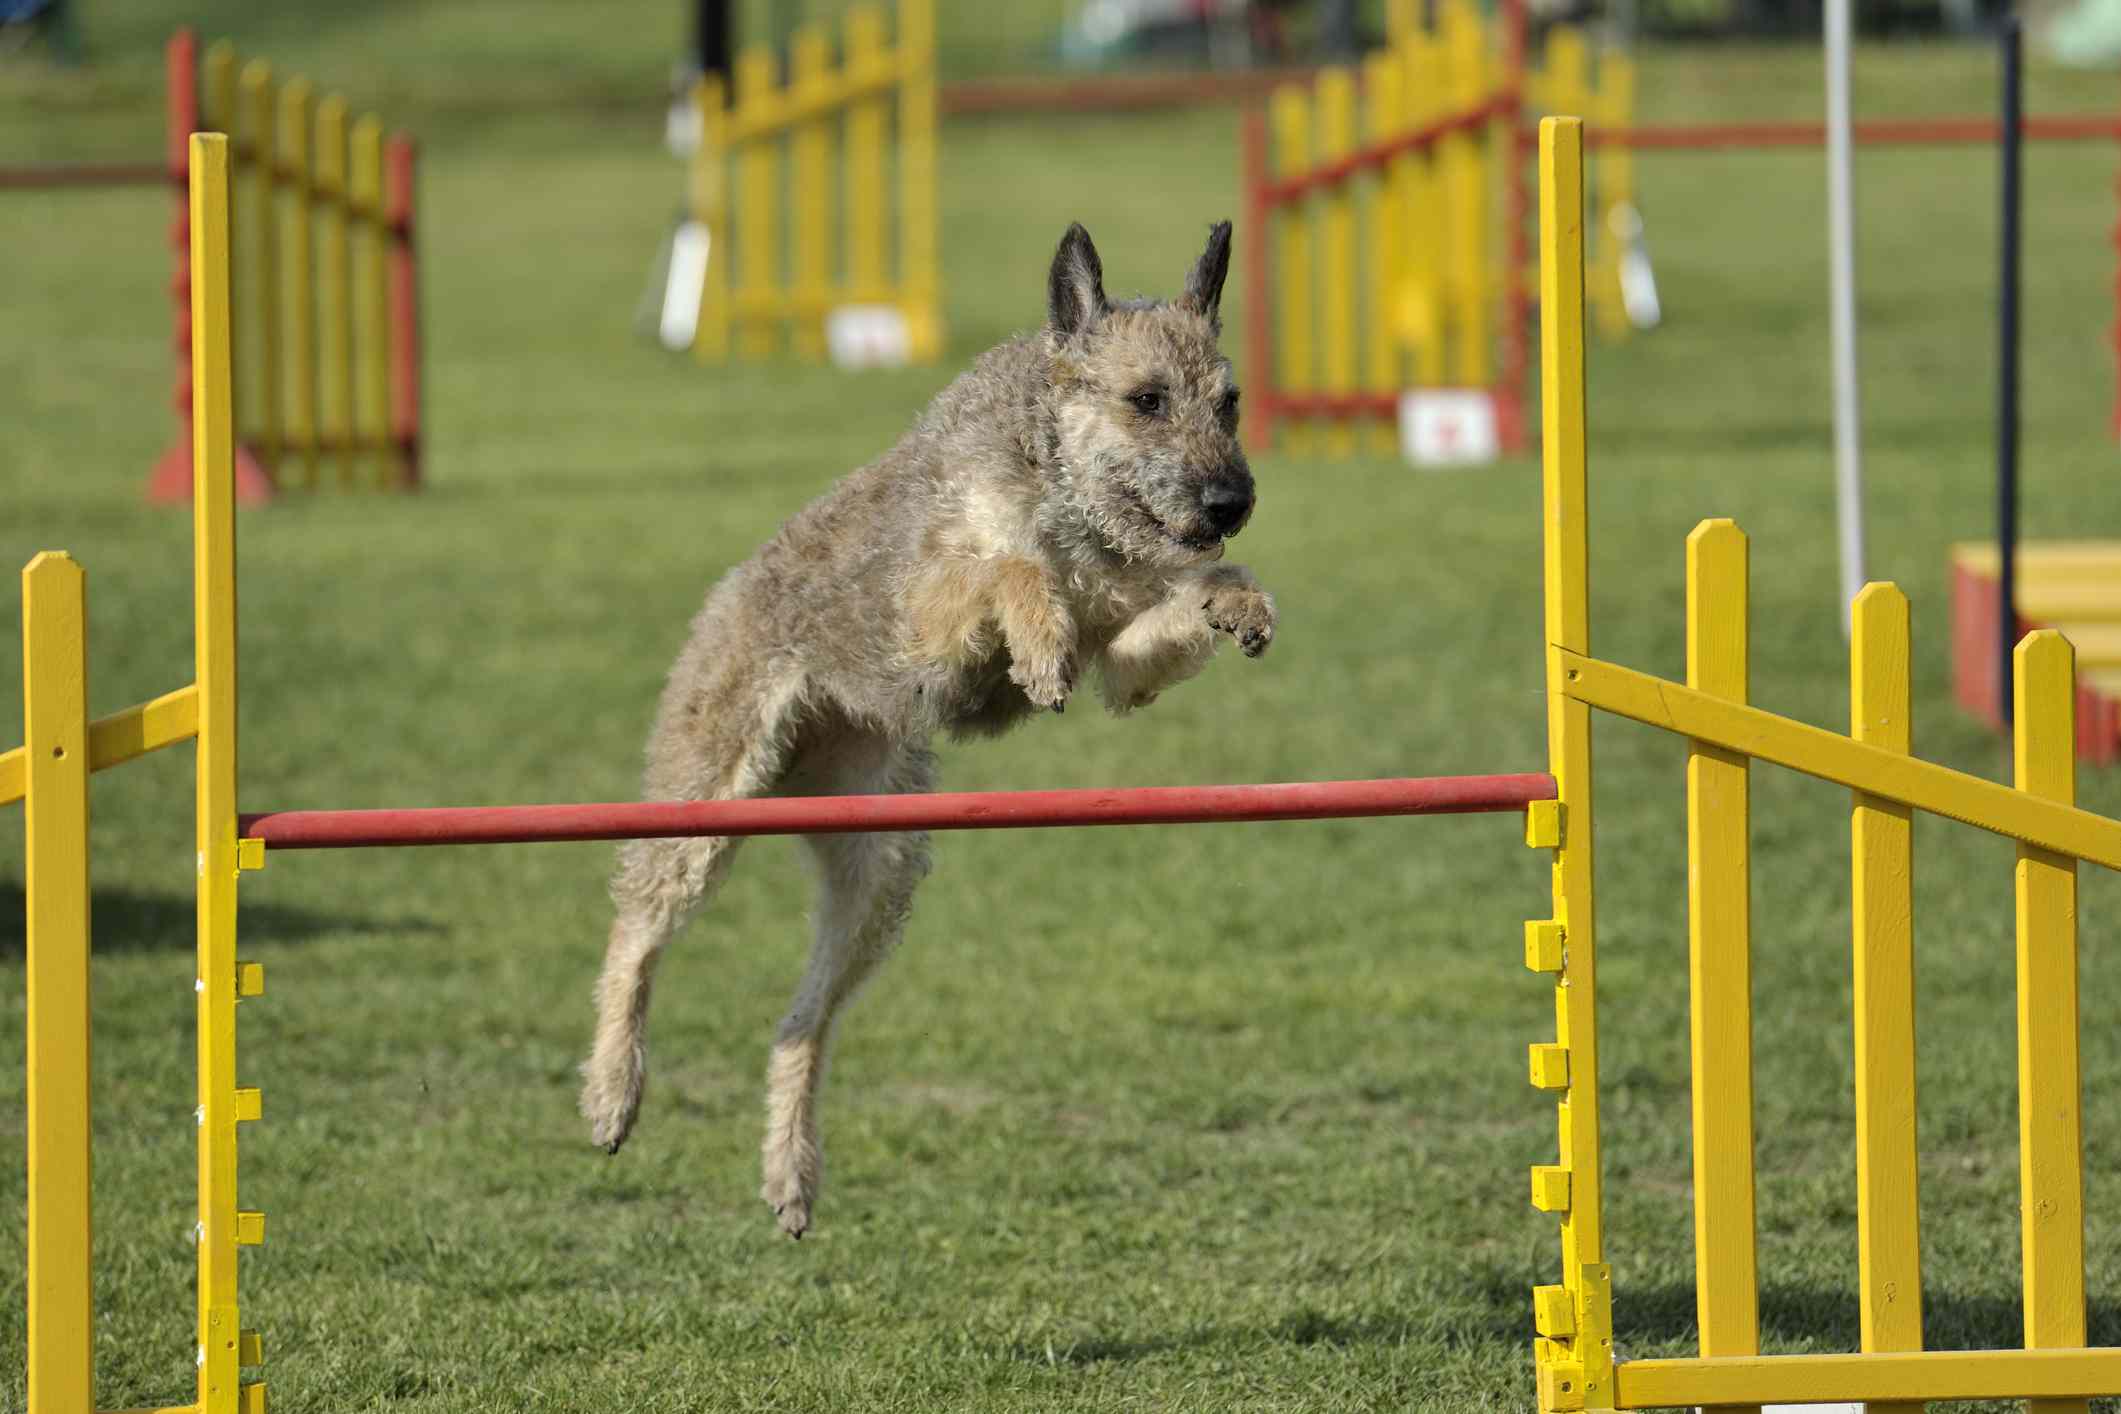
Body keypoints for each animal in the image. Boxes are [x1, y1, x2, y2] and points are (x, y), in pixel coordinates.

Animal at [576, 221, 1272, 1238]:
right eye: (1146, 399)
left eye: (1228, 402)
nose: (1231, 503)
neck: (1060, 485)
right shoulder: (927, 612)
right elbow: (1007, 570)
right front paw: (1038, 645)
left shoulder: (1125, 652)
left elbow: (1166, 612)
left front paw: (1238, 601)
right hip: (702, 807)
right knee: (635, 937)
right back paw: (611, 1093)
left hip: (880, 870)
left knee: (802, 1022)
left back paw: (790, 1175)